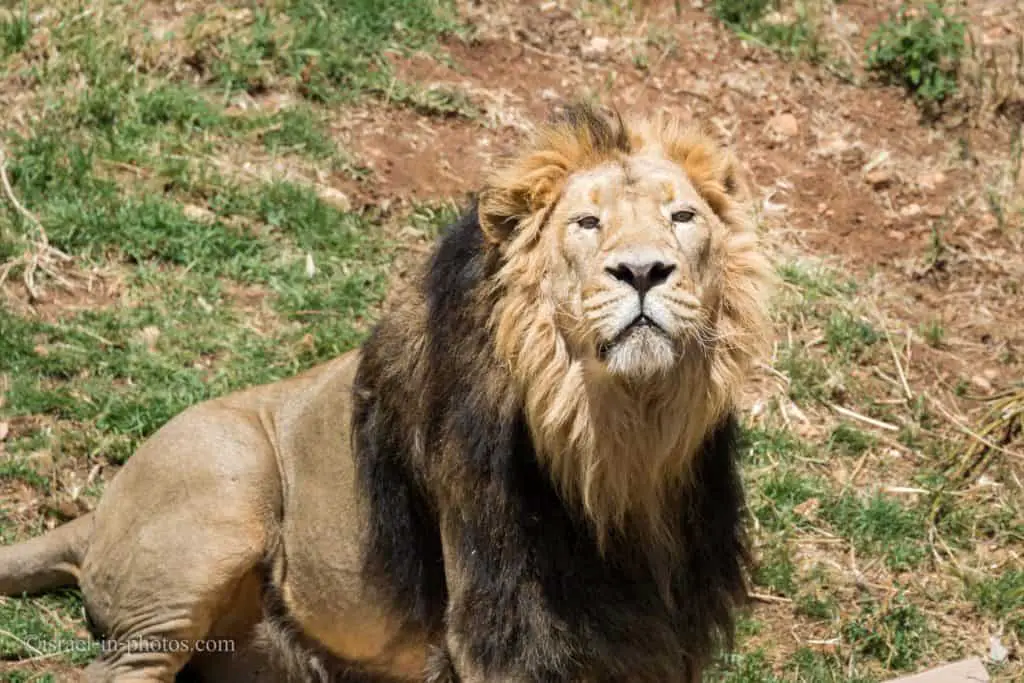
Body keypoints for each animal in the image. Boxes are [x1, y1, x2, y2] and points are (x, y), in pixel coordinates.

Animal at [0, 102, 770, 683]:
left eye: (682, 218)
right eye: (587, 223)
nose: (643, 271)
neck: (619, 443)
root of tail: (97, 514)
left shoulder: (667, 627)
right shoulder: (498, 617)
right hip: (221, 490)